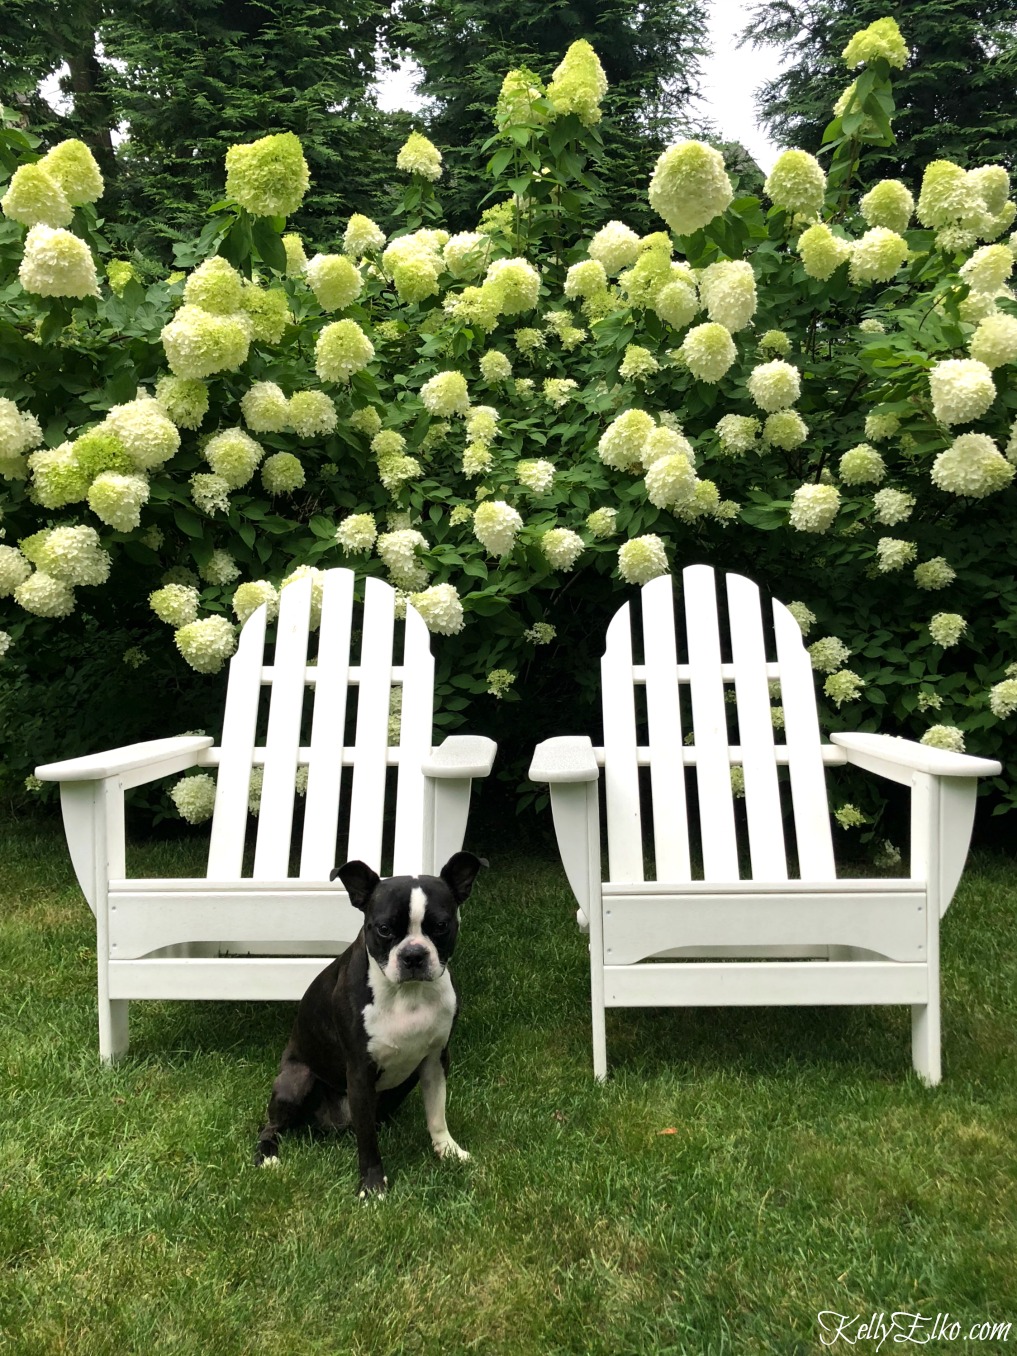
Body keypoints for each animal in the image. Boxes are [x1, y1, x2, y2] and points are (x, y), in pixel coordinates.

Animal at [254, 851, 485, 1193]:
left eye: (441, 926)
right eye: (385, 929)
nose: (413, 955)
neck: (407, 993)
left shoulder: (435, 1060)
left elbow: (437, 1114)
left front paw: (448, 1150)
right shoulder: (360, 1072)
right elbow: (367, 1140)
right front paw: (373, 1186)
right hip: (296, 1080)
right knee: (270, 1126)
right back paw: (268, 1154)